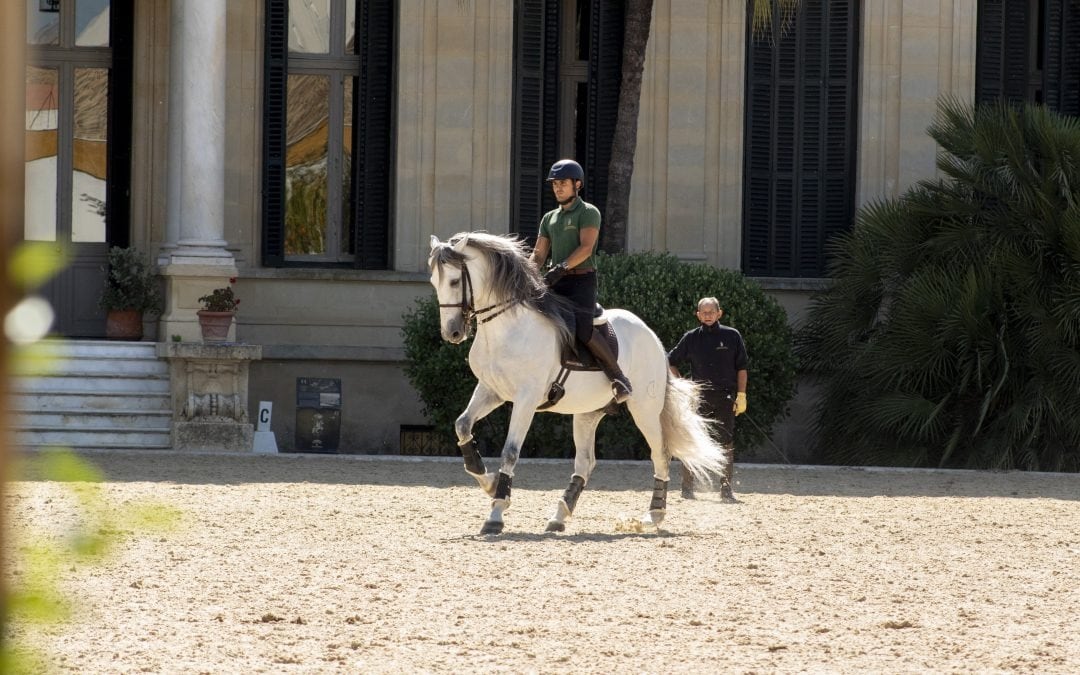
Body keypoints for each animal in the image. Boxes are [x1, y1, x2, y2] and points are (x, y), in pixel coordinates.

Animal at [427, 228, 725, 533]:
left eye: (454, 281)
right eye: (434, 282)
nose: (452, 332)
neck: (506, 328)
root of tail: (651, 335)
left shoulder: (526, 399)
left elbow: (510, 451)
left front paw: (496, 512)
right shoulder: (491, 391)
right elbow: (462, 425)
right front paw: (487, 481)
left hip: (645, 409)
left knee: (660, 455)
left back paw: (655, 513)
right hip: (587, 413)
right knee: (585, 462)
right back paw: (559, 515)